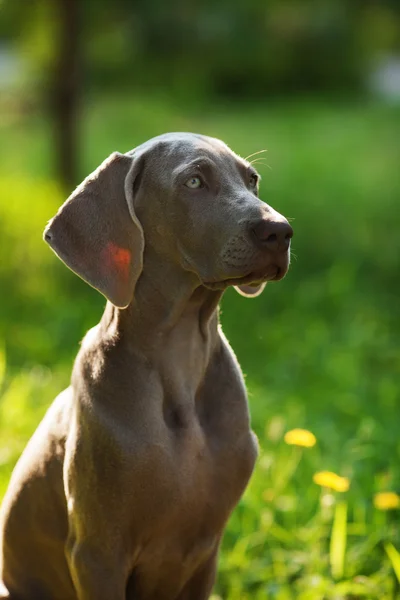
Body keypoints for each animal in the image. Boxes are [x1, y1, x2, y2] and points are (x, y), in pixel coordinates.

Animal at [0, 134, 294, 596]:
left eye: (252, 180)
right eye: (194, 181)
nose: (280, 231)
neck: (181, 353)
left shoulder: (206, 549)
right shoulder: (97, 552)